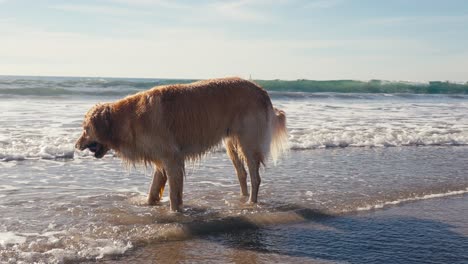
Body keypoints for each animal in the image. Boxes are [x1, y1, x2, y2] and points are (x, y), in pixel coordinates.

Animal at [75, 77, 288, 211]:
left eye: (85, 129)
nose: (76, 146)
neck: (127, 118)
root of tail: (262, 90)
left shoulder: (172, 158)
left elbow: (173, 194)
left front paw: (175, 213)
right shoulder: (162, 160)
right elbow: (153, 190)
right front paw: (148, 205)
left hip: (248, 143)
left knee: (255, 176)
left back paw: (251, 203)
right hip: (232, 144)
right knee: (242, 174)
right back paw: (242, 198)